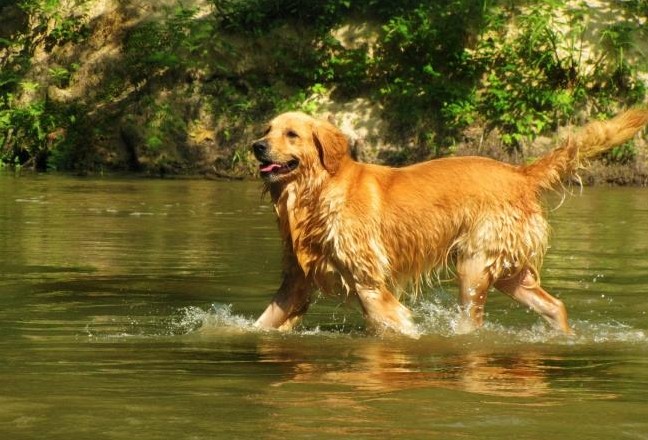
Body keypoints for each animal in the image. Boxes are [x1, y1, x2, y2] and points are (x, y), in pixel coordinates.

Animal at [251, 110, 648, 336]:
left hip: (474, 264)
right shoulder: (297, 281)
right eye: (267, 129)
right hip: (508, 271)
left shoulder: (369, 283)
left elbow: (396, 323)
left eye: (291, 134)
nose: (256, 145)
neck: (315, 193)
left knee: (473, 322)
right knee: (555, 306)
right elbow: (261, 322)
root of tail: (519, 173)